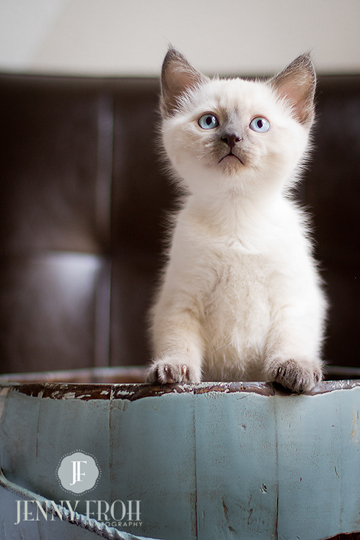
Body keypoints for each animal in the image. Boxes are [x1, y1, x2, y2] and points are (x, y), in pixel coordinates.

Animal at [148, 48, 328, 392]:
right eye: (208, 122)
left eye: (259, 124)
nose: (231, 137)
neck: (237, 217)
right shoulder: (181, 301)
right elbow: (178, 341)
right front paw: (173, 370)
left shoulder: (292, 299)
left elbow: (289, 339)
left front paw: (293, 370)